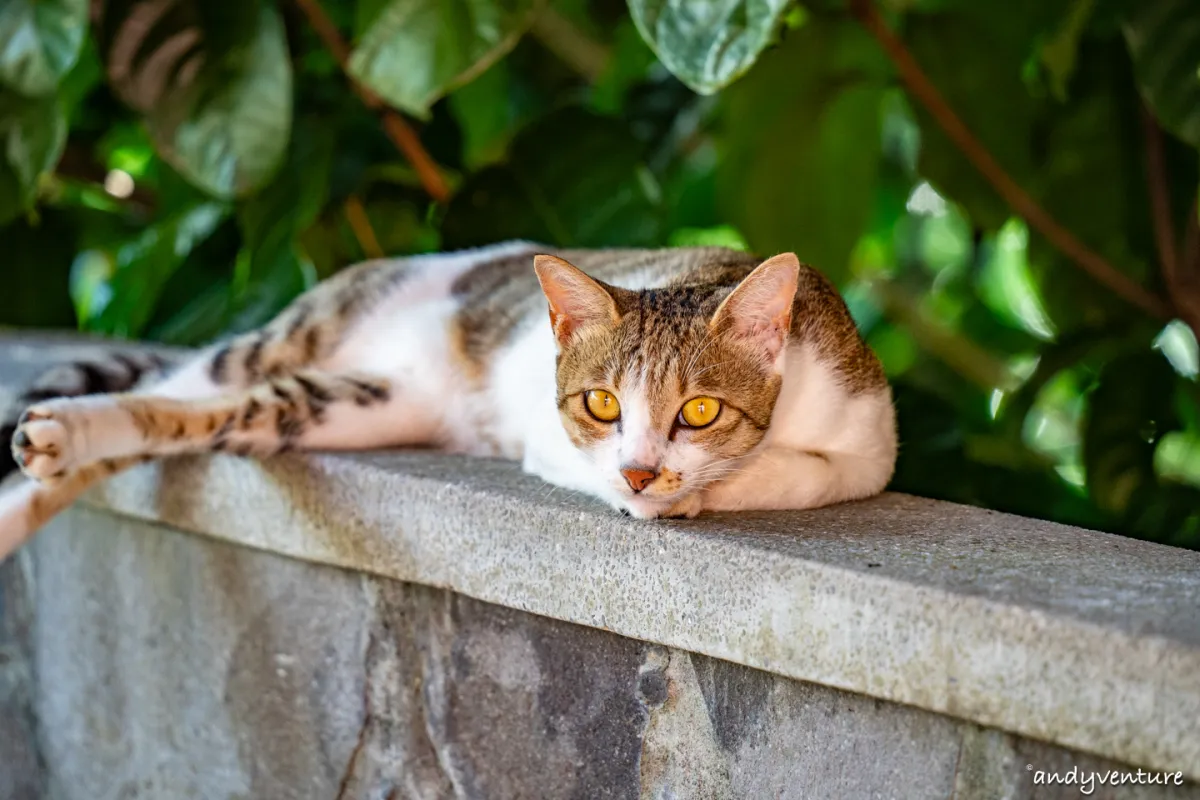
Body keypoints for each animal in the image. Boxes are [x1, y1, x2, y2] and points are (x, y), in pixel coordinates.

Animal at [0, 241, 897, 561]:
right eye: (601, 404)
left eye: (700, 412)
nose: (642, 474)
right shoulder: (550, 438)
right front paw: (672, 495)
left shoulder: (870, 441)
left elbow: (812, 470)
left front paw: (715, 485)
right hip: (287, 339)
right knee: (173, 389)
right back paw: (56, 440)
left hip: (357, 403)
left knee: (199, 419)